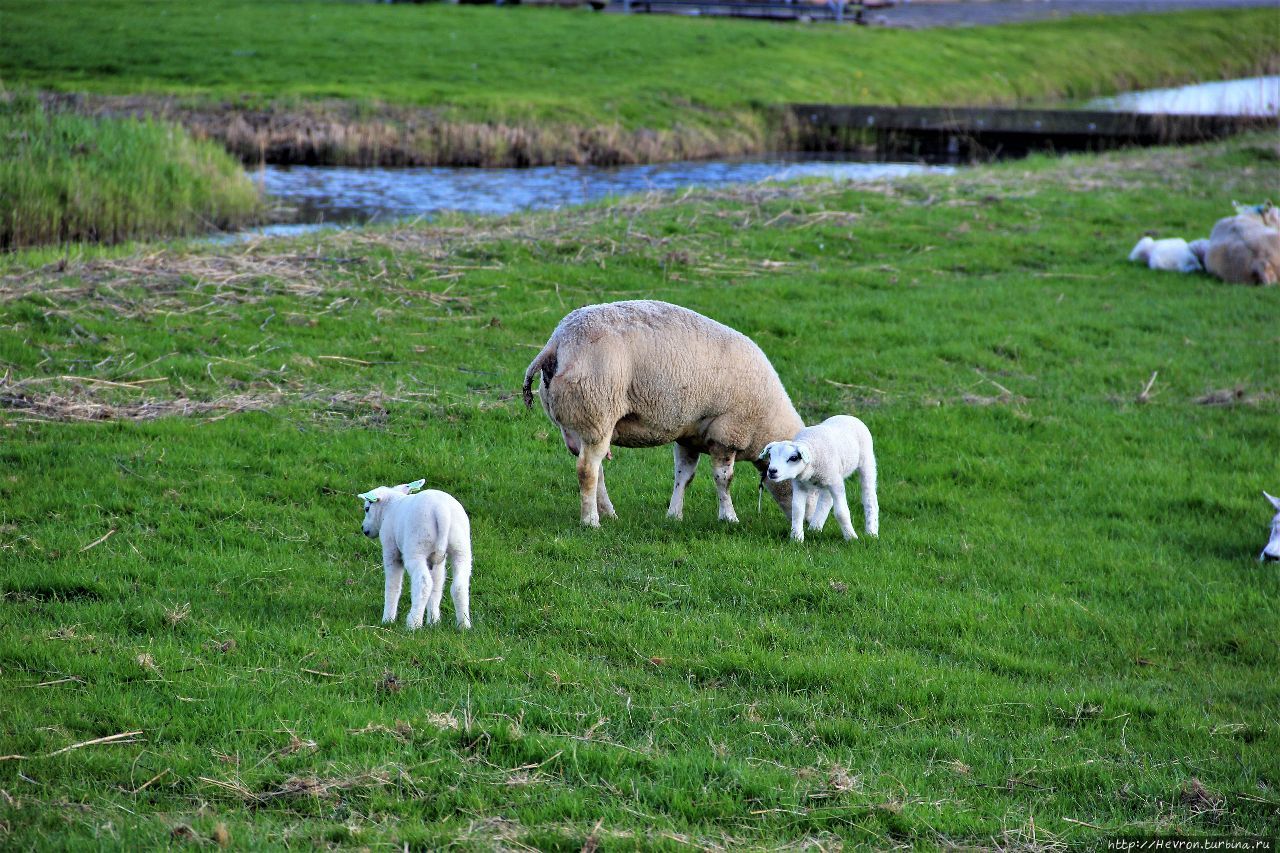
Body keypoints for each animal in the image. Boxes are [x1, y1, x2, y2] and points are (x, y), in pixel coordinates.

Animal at [358, 473, 473, 627]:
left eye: (367, 509)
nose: (364, 529)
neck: (390, 505)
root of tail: (441, 510)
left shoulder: (391, 550)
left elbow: (393, 586)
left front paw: (387, 620)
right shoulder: (436, 560)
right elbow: (437, 586)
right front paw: (433, 622)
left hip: (416, 548)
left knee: (423, 583)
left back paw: (414, 623)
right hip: (460, 548)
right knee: (459, 585)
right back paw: (463, 625)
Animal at [522, 297, 808, 525]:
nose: (809, 524)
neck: (765, 423)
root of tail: (557, 343)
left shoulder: (690, 436)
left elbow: (684, 476)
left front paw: (674, 515)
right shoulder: (726, 433)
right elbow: (724, 479)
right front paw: (729, 518)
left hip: (578, 422)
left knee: (596, 469)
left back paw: (609, 514)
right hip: (597, 412)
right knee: (587, 470)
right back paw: (591, 521)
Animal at [757, 412, 880, 545]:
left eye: (793, 458)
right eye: (770, 455)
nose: (772, 471)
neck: (811, 445)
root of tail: (849, 416)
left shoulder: (836, 483)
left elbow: (841, 513)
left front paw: (851, 538)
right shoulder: (800, 484)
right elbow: (798, 510)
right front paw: (796, 538)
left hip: (866, 461)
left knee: (869, 497)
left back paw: (872, 533)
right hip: (829, 478)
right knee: (826, 499)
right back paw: (815, 528)